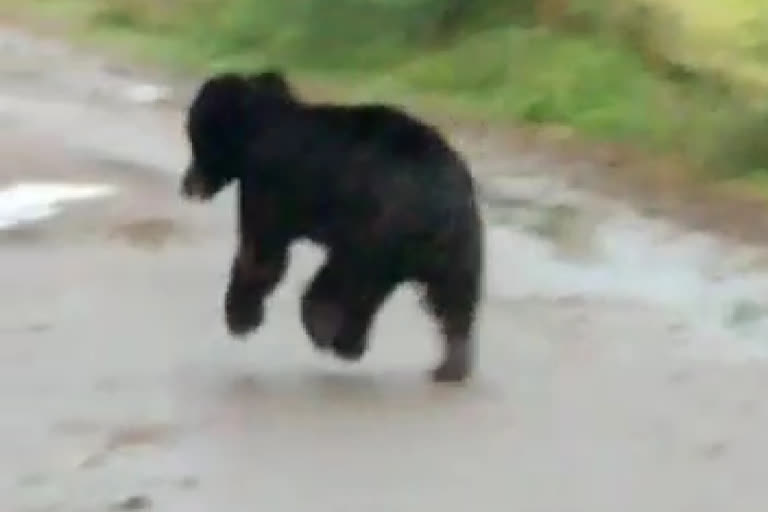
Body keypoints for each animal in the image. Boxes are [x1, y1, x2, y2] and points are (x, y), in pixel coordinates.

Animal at [178, 70, 486, 382]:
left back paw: (323, 326)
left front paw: (240, 318)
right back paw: (447, 363)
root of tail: (443, 197)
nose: (187, 184)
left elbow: (261, 251)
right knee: (449, 297)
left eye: (195, 140)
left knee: (347, 277)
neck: (255, 134)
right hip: (453, 246)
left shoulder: (268, 185)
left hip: (376, 227)